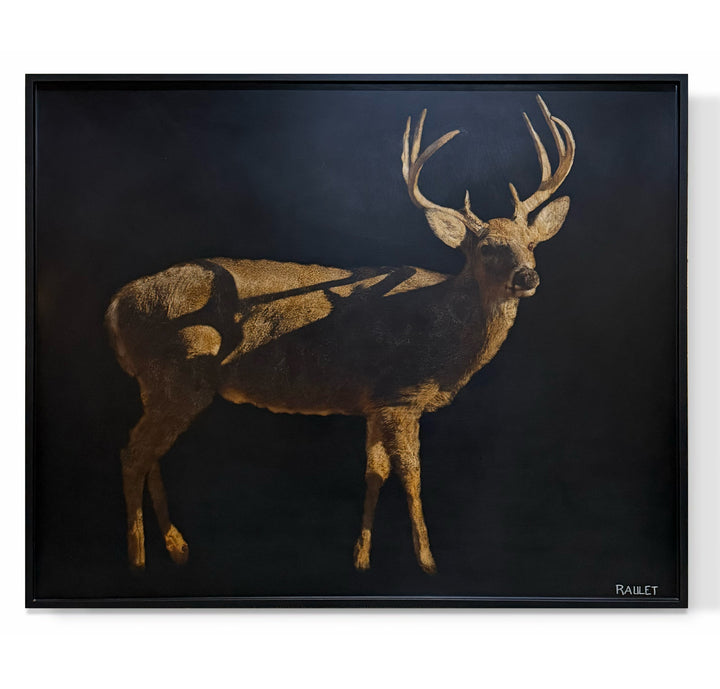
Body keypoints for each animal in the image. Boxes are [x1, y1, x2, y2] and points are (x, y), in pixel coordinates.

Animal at [105, 95, 575, 574]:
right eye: (486, 248)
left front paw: (361, 557)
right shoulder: (401, 395)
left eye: (531, 243)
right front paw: (427, 561)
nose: (527, 276)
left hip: (159, 384)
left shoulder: (374, 404)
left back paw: (176, 548)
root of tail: (115, 305)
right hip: (179, 374)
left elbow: (374, 472)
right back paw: (138, 557)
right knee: (134, 454)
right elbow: (411, 475)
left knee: (150, 453)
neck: (445, 335)